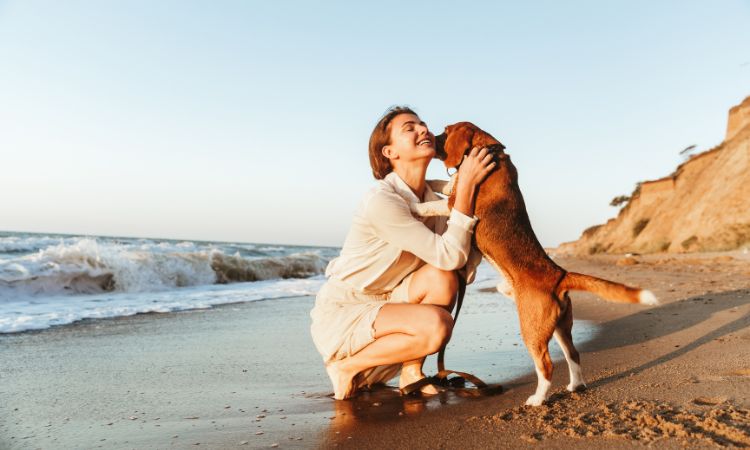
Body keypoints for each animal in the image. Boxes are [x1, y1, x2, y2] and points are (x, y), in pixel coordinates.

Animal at [412, 123, 656, 408]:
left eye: (445, 131)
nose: (429, 139)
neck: (491, 150)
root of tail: (559, 275)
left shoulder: (454, 205)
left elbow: (434, 202)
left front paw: (416, 206)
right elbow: (445, 184)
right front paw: (429, 183)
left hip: (532, 329)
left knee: (547, 365)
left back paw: (538, 398)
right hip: (562, 326)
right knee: (573, 355)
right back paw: (575, 385)